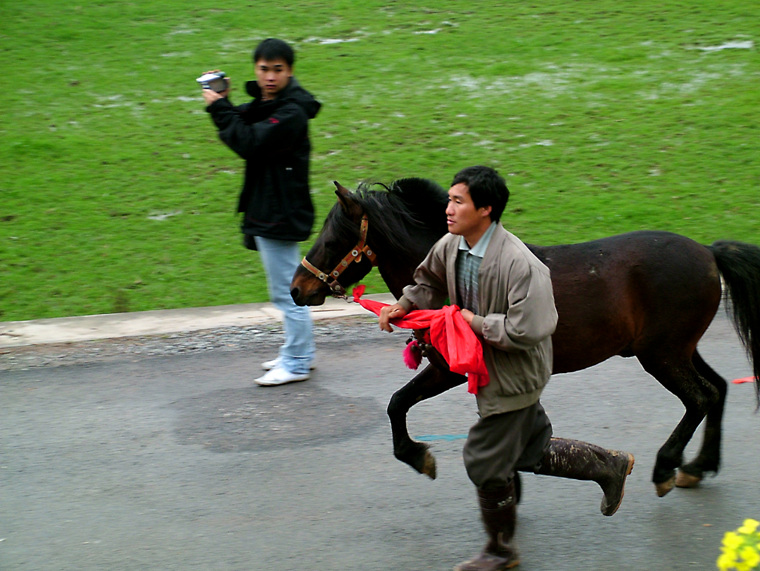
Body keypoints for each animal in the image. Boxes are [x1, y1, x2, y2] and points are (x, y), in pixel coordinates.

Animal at [290, 177, 760, 498]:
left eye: (333, 238)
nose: (297, 289)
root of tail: (707, 253)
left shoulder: (448, 371)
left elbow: (397, 403)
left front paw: (419, 456)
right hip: (677, 348)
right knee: (718, 388)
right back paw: (698, 466)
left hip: (661, 353)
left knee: (700, 397)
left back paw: (666, 468)